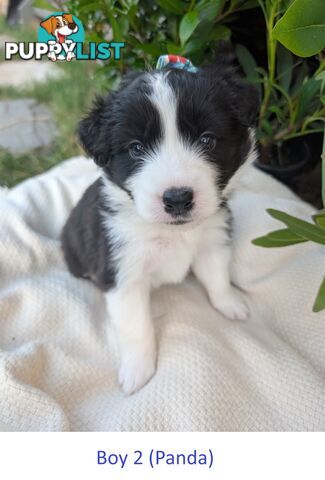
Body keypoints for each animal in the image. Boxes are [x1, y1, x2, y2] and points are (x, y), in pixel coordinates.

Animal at [61, 57, 258, 394]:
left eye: (207, 139)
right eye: (136, 148)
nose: (177, 199)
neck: (170, 231)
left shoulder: (212, 240)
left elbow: (217, 277)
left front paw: (230, 303)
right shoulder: (123, 274)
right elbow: (137, 327)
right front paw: (138, 370)